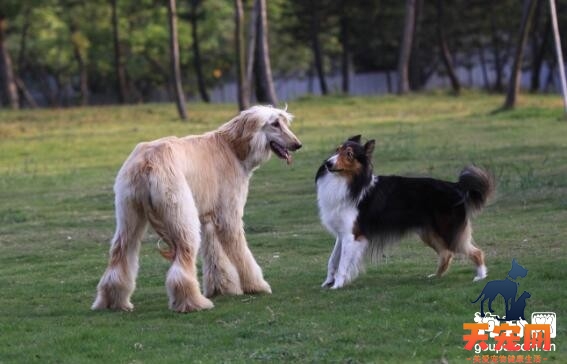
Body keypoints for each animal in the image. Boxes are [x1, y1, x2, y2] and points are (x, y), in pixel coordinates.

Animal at [92, 105, 302, 312]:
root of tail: (148, 161)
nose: (297, 145)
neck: (233, 148)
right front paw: (256, 286)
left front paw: (222, 288)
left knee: (121, 251)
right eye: (275, 124)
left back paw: (114, 301)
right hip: (180, 212)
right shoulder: (228, 214)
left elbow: (215, 253)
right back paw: (193, 302)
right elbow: (240, 252)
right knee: (183, 259)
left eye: (284, 122)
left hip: (129, 212)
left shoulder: (209, 218)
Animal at [318, 135, 494, 288]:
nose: (328, 163)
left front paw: (337, 285)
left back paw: (480, 276)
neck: (349, 181)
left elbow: (342, 264)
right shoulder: (343, 234)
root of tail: (455, 186)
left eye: (349, 154)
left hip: (449, 232)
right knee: (446, 254)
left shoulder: (352, 235)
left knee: (476, 252)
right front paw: (327, 282)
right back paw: (436, 276)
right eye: (337, 150)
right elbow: (332, 260)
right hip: (429, 233)